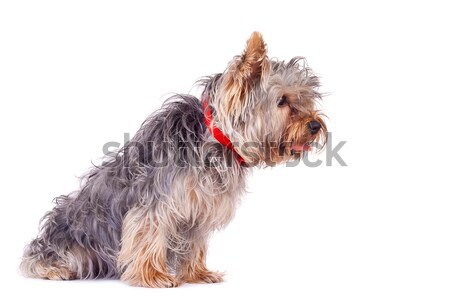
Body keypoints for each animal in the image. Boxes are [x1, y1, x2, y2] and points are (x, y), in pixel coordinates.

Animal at [20, 31, 326, 288]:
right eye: (282, 101)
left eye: (306, 100)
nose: (315, 125)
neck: (215, 138)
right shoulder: (155, 204)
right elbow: (148, 236)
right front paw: (153, 276)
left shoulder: (199, 208)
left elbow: (194, 244)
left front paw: (197, 273)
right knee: (37, 261)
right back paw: (55, 269)